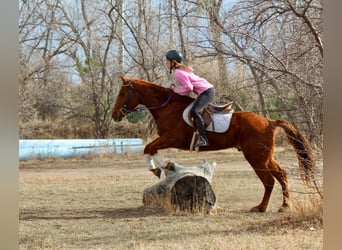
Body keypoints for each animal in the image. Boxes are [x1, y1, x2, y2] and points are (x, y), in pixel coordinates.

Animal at [112, 76, 316, 213]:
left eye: (122, 93)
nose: (114, 115)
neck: (166, 107)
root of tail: (269, 121)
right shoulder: (166, 140)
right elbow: (150, 148)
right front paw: (164, 166)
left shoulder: (172, 139)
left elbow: (148, 147)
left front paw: (157, 167)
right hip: (265, 157)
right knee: (281, 174)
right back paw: (284, 206)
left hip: (256, 158)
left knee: (269, 181)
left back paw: (261, 207)